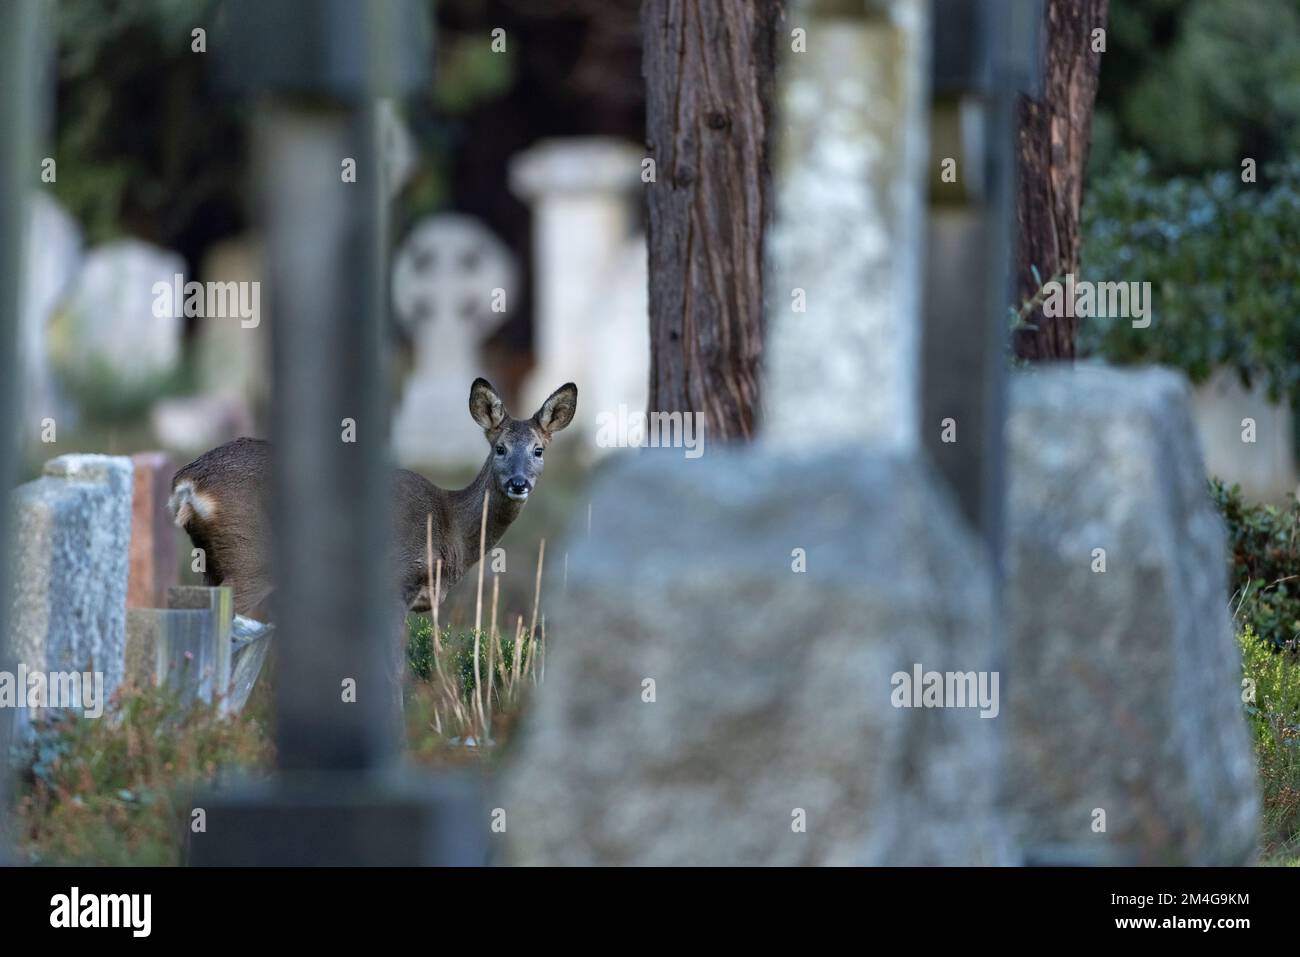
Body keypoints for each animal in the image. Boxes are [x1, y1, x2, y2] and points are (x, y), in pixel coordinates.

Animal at [169, 377, 579, 616]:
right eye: (500, 448)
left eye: (538, 450)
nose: (519, 483)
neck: (452, 527)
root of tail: (189, 483)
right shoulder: (397, 581)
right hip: (249, 557)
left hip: (213, 565)